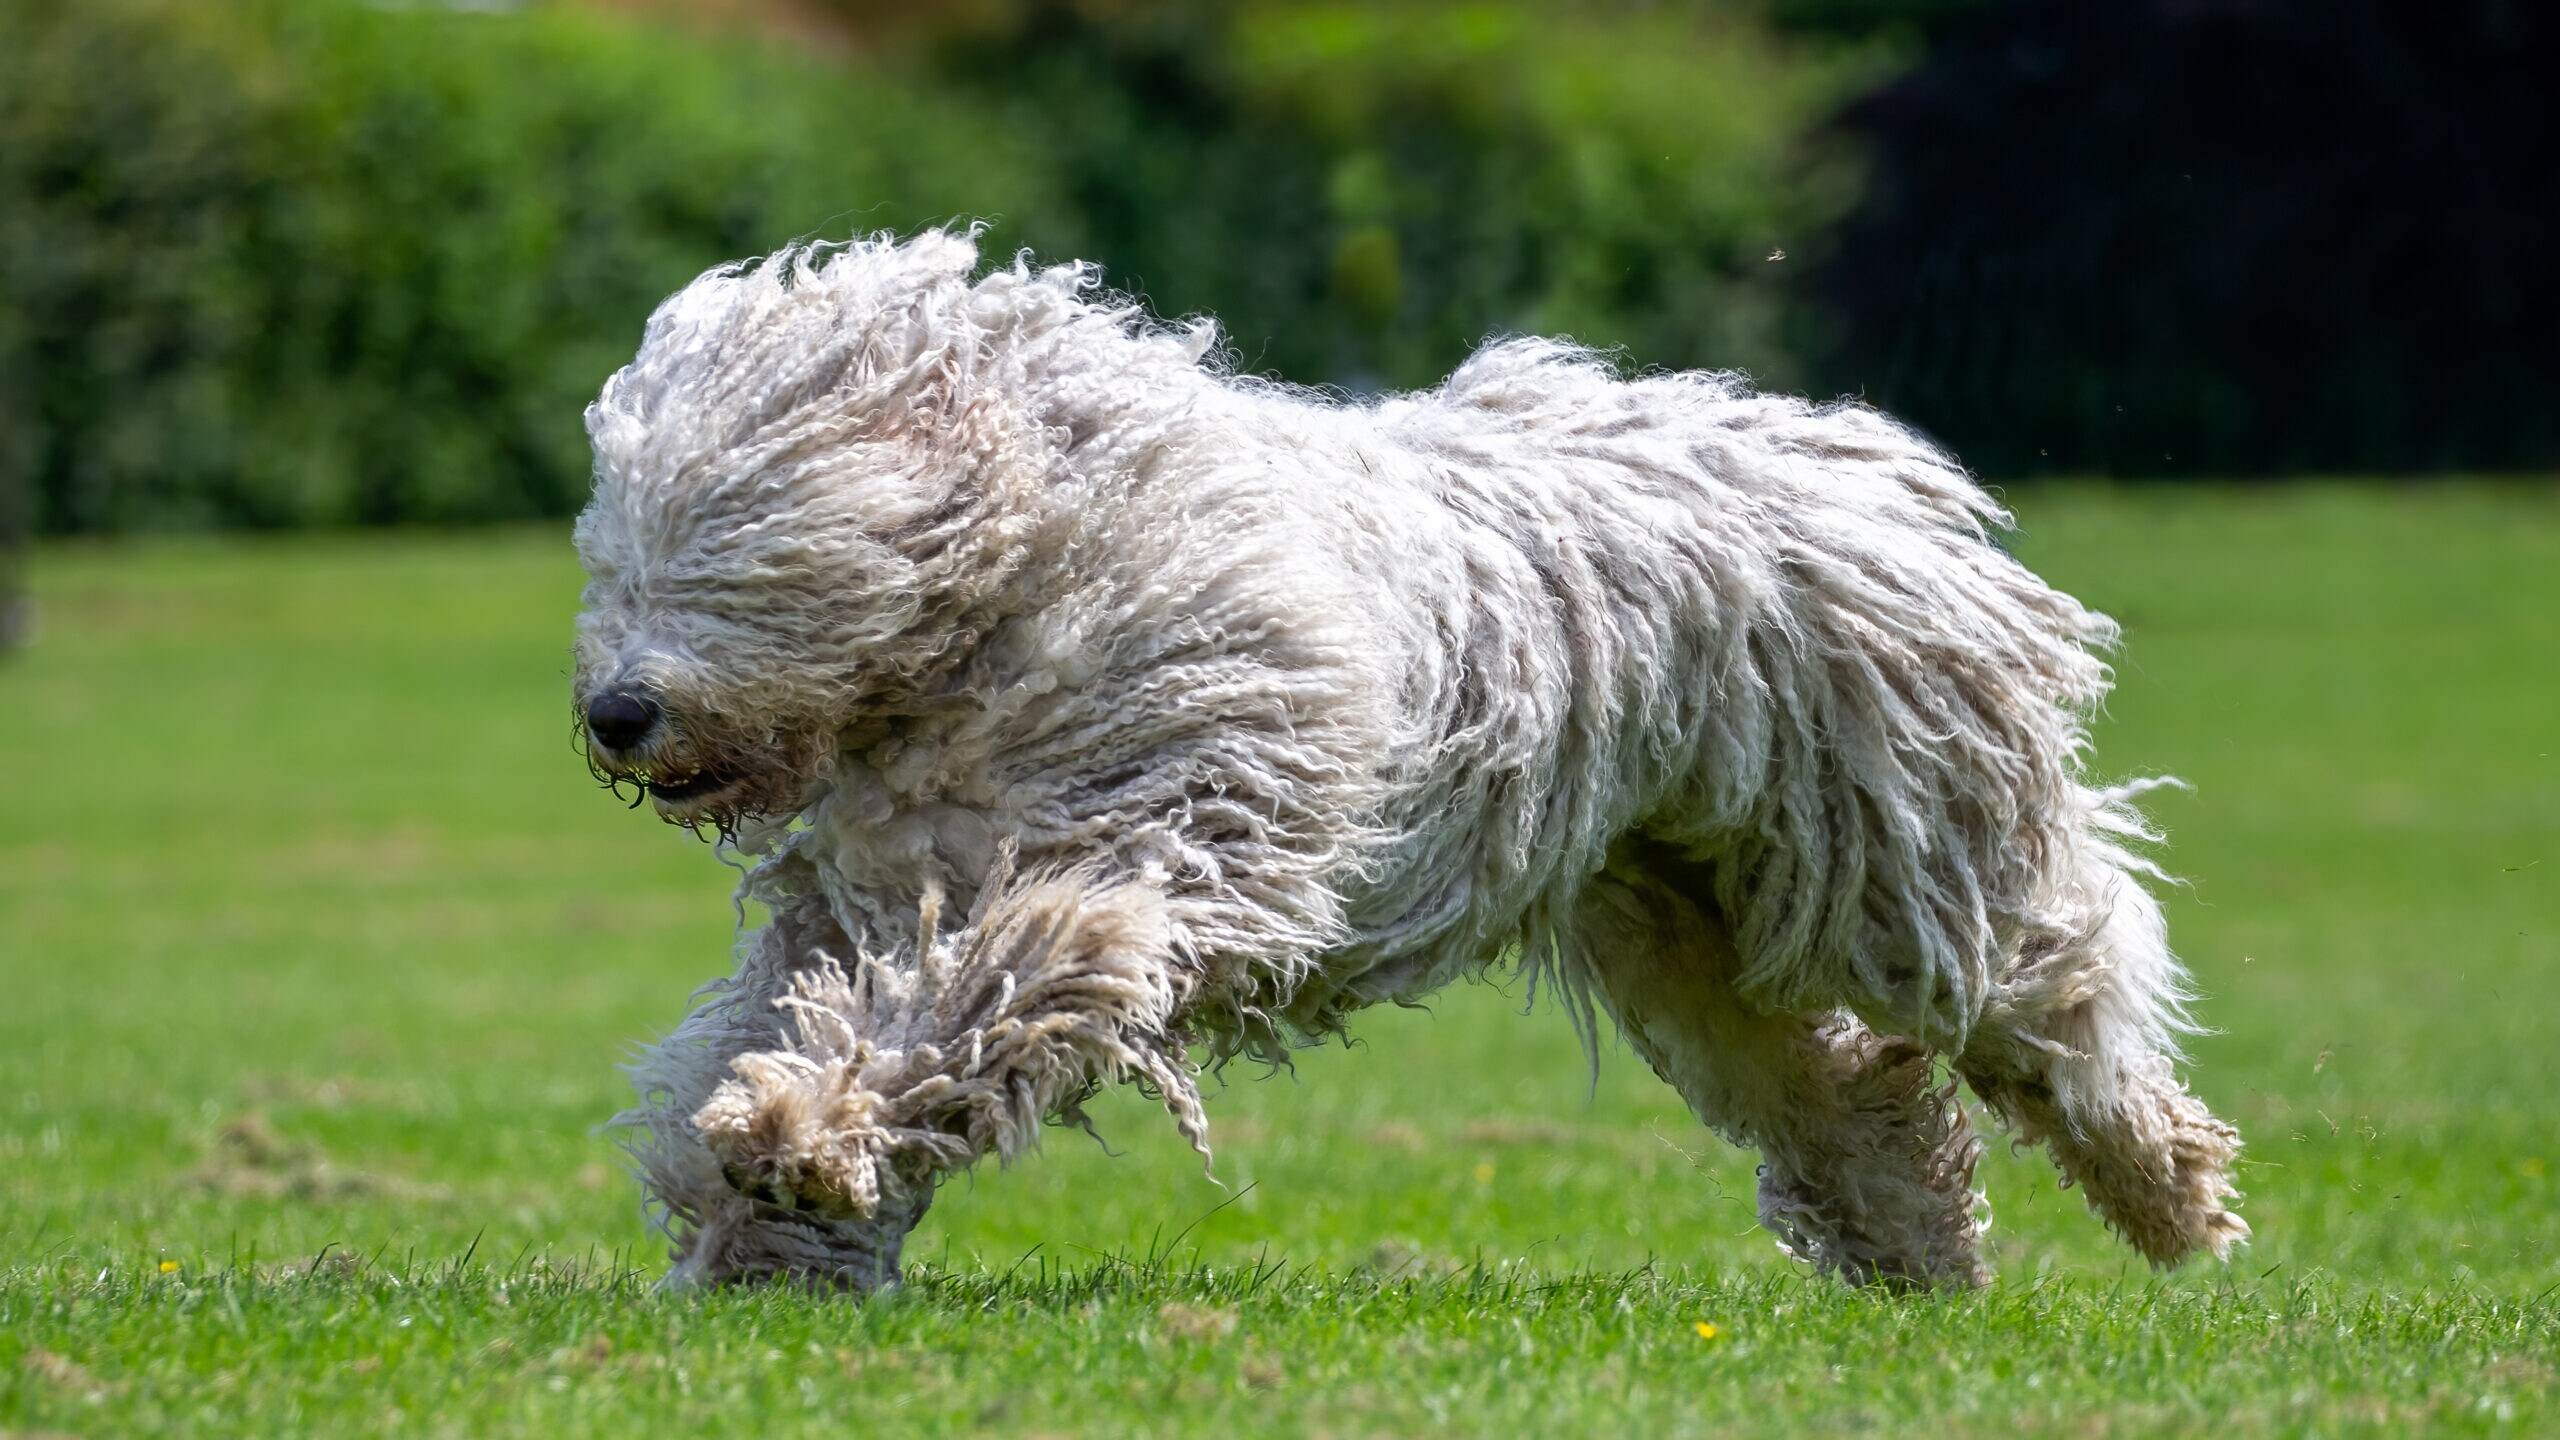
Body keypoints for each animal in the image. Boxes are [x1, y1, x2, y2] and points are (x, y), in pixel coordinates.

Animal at [576, 226, 2242, 1291]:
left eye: (736, 546)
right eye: (614, 551)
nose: (614, 715)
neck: (1028, 590)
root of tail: (1866, 468)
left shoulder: (1154, 850)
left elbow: (984, 990)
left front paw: (803, 1131)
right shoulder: (864, 892)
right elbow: (789, 1012)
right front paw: (765, 1222)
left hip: (1896, 857)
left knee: (2054, 989)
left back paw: (2165, 1188)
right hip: (1677, 909)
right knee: (1840, 1086)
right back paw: (1922, 1247)